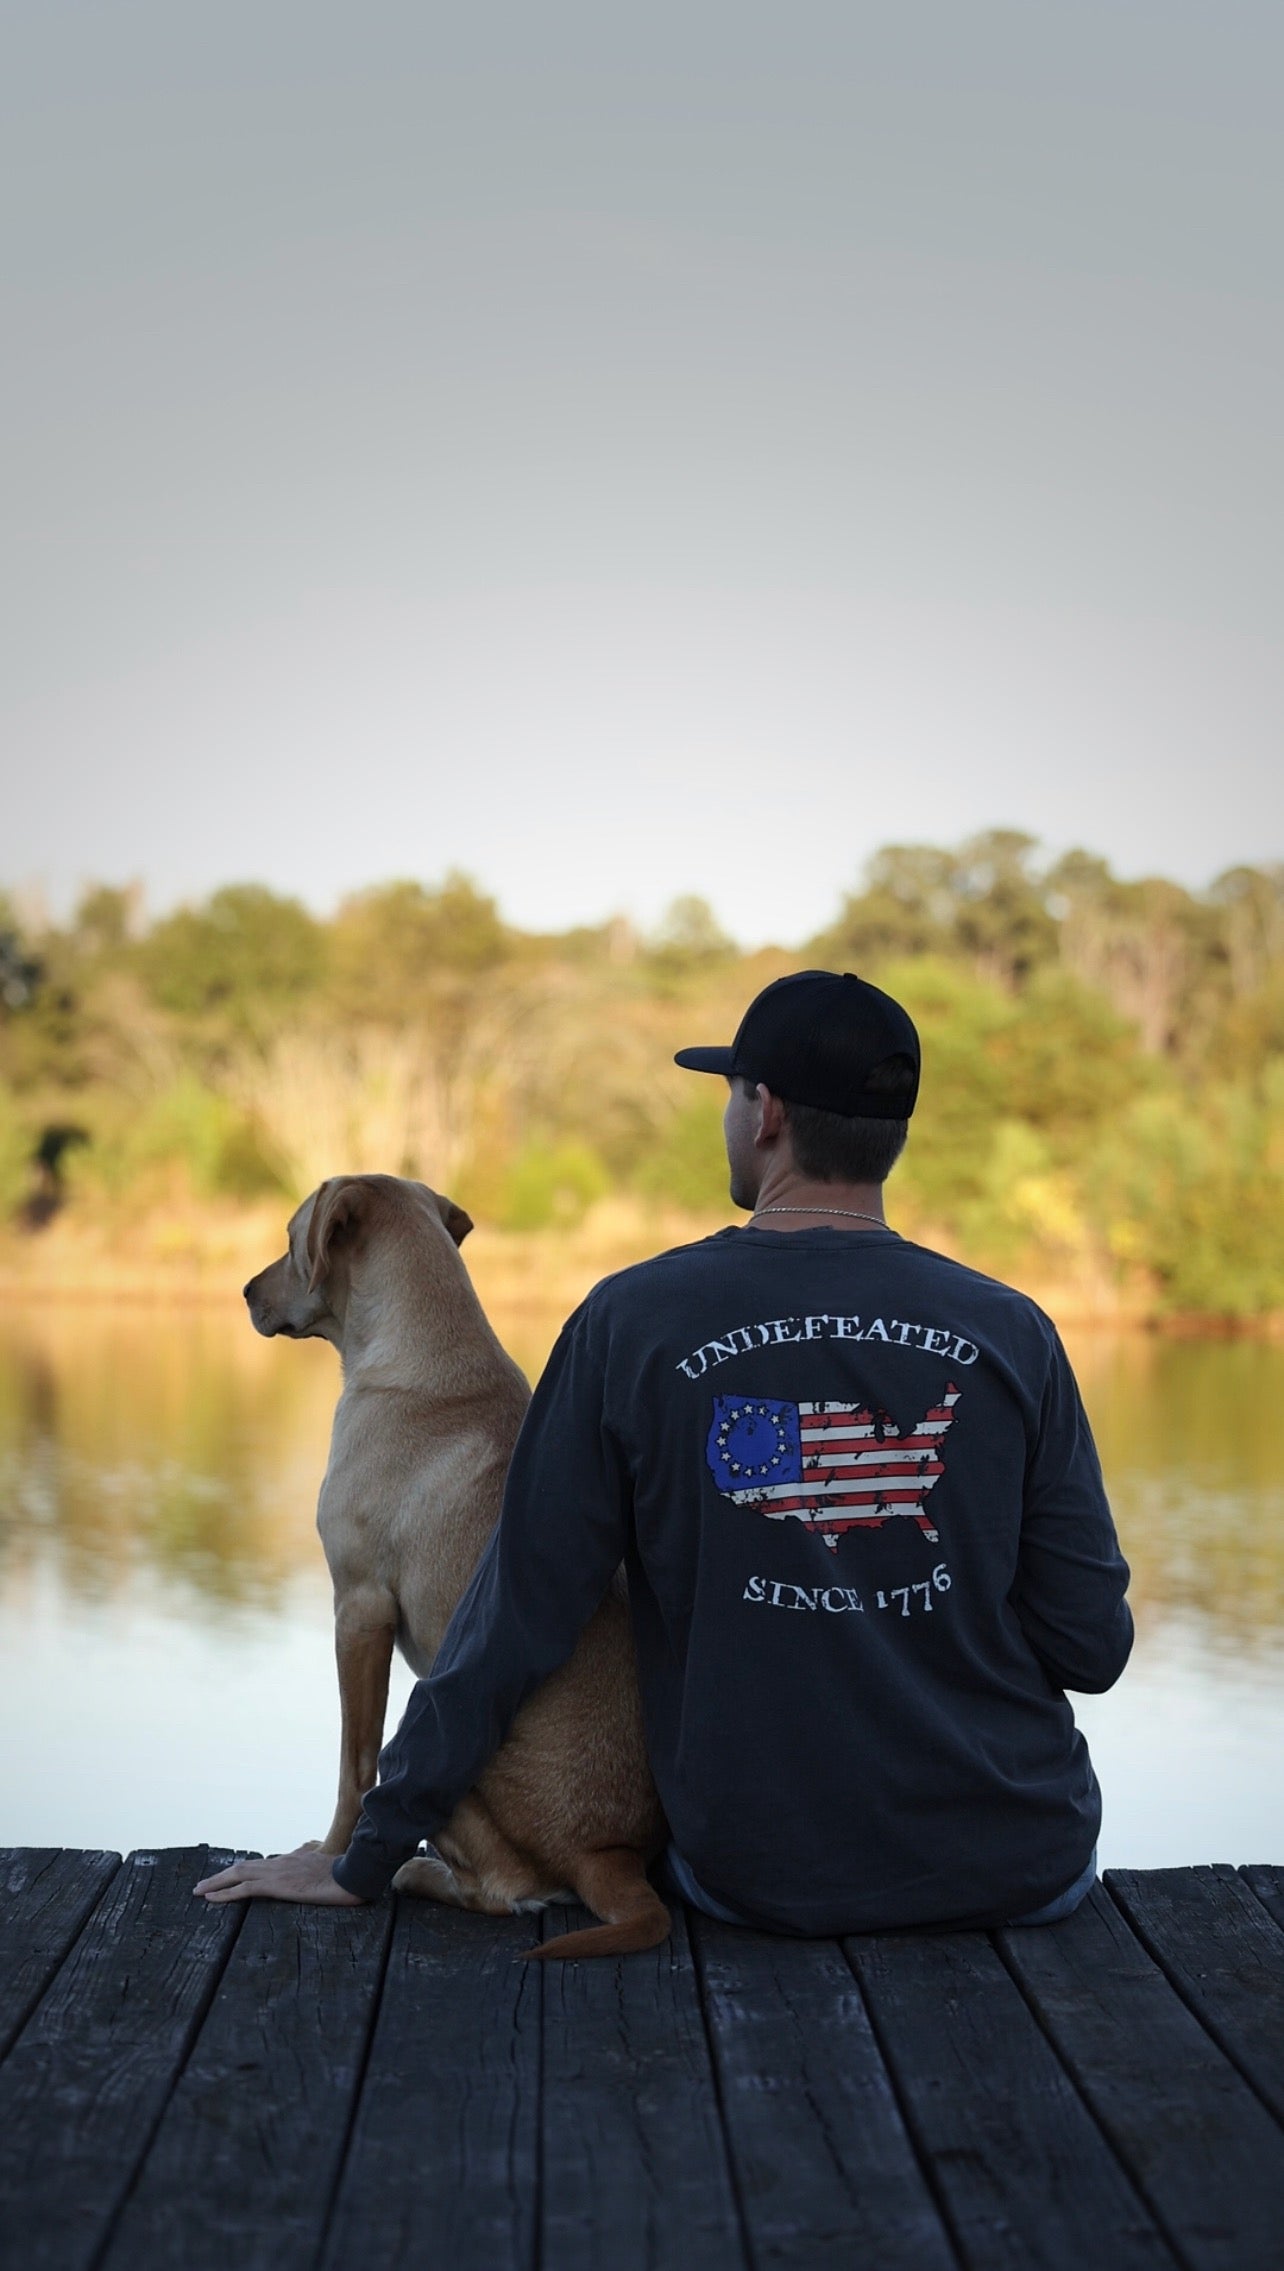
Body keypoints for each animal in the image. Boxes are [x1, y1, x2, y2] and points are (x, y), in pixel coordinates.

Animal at [242, 1180, 668, 1962]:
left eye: (290, 1240)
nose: (246, 1290)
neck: (423, 1349)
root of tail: (611, 1857)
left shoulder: (360, 1608)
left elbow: (354, 1766)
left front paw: (328, 1856)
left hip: (436, 1735)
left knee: (505, 1888)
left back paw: (418, 1872)